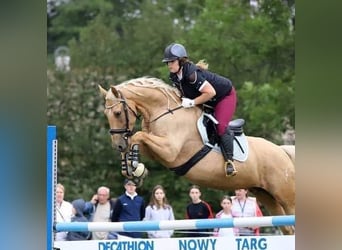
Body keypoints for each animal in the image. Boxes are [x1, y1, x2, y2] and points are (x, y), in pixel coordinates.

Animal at [98, 76, 294, 234]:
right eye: (106, 114)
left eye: (117, 113)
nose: (118, 144)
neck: (164, 113)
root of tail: (281, 151)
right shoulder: (157, 151)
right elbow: (135, 140)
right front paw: (134, 168)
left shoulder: (169, 151)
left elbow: (138, 136)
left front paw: (135, 167)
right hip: (266, 195)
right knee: (287, 228)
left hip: (285, 196)